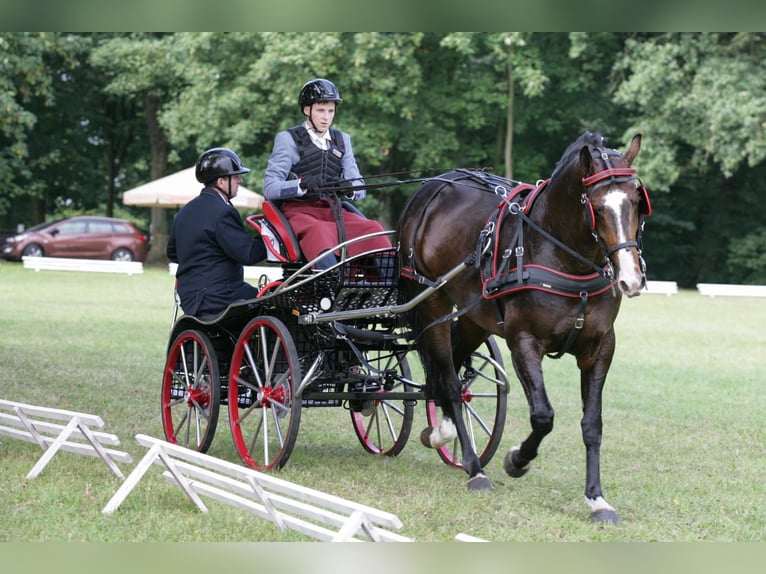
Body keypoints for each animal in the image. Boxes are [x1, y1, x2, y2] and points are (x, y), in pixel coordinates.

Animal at [396, 133, 656, 524]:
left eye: (637, 202)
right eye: (596, 206)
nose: (631, 279)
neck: (562, 255)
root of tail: (432, 188)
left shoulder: (600, 347)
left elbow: (592, 424)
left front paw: (597, 498)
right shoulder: (524, 342)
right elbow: (543, 416)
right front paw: (517, 459)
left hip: (475, 316)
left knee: (452, 366)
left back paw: (443, 431)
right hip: (430, 302)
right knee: (450, 379)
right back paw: (474, 468)